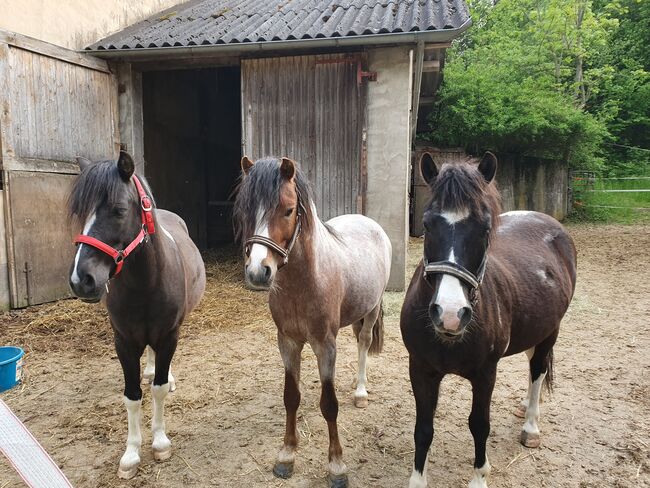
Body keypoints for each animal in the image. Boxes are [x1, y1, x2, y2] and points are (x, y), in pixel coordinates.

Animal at [68, 153, 205, 480]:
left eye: (118, 210)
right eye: (80, 212)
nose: (81, 280)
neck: (146, 282)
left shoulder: (168, 335)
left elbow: (159, 389)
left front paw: (160, 443)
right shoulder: (125, 342)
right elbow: (132, 396)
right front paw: (130, 455)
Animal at [233, 157, 390, 488]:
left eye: (288, 209)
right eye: (245, 210)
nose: (258, 272)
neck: (303, 281)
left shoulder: (324, 345)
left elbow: (329, 405)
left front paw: (337, 466)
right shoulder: (288, 342)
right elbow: (290, 397)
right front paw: (286, 455)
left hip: (371, 309)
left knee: (364, 342)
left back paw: (360, 392)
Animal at [400, 151, 576, 486]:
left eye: (484, 228)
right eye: (427, 224)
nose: (451, 314)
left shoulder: (485, 374)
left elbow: (479, 425)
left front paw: (479, 477)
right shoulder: (421, 368)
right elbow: (422, 428)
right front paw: (417, 479)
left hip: (552, 331)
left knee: (538, 370)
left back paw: (531, 426)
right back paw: (524, 407)